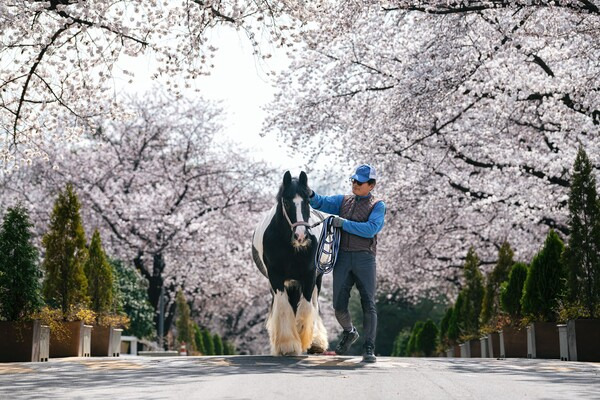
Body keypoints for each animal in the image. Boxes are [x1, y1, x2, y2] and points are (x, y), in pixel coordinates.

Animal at [252, 170, 330, 354]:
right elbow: (283, 307)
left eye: (307, 201)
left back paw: (316, 342)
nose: (301, 236)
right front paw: (287, 344)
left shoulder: (309, 276)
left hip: (317, 279)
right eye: (286, 202)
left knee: (314, 304)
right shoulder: (275, 277)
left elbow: (307, 307)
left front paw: (303, 336)